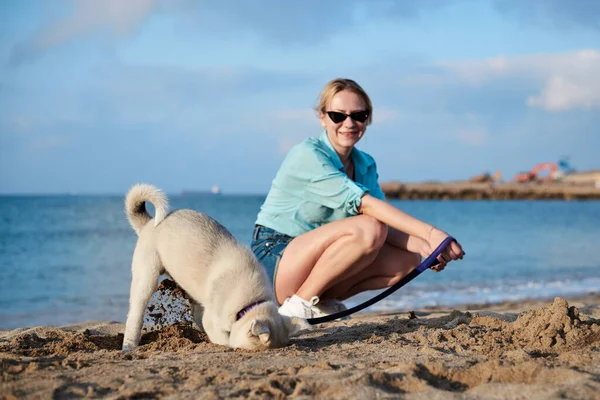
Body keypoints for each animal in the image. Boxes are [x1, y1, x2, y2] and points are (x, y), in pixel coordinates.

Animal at [121, 184, 310, 350]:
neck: (251, 302)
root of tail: (149, 223)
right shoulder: (214, 319)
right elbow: (223, 338)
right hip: (147, 277)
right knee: (136, 314)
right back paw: (129, 345)